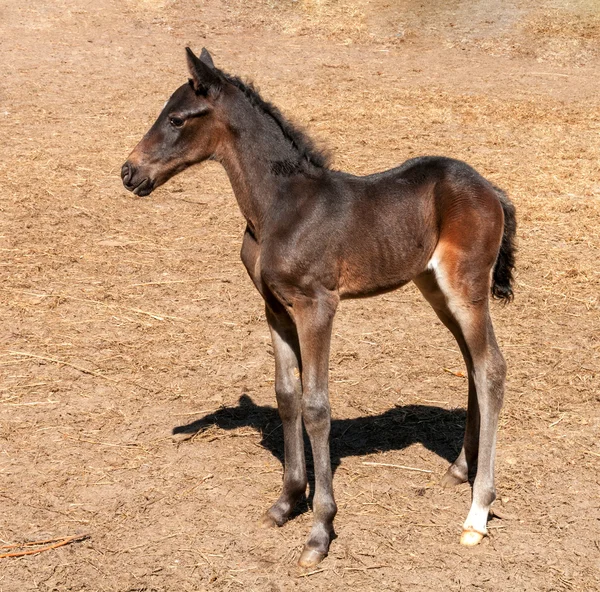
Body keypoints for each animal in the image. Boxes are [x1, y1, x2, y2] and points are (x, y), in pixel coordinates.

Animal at [120, 47, 516, 568]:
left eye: (177, 119)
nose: (128, 172)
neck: (280, 209)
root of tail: (491, 188)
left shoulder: (317, 306)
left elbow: (315, 406)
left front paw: (320, 530)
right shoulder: (274, 307)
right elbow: (287, 395)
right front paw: (287, 502)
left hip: (465, 287)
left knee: (491, 367)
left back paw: (477, 513)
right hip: (434, 289)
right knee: (472, 363)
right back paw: (458, 469)